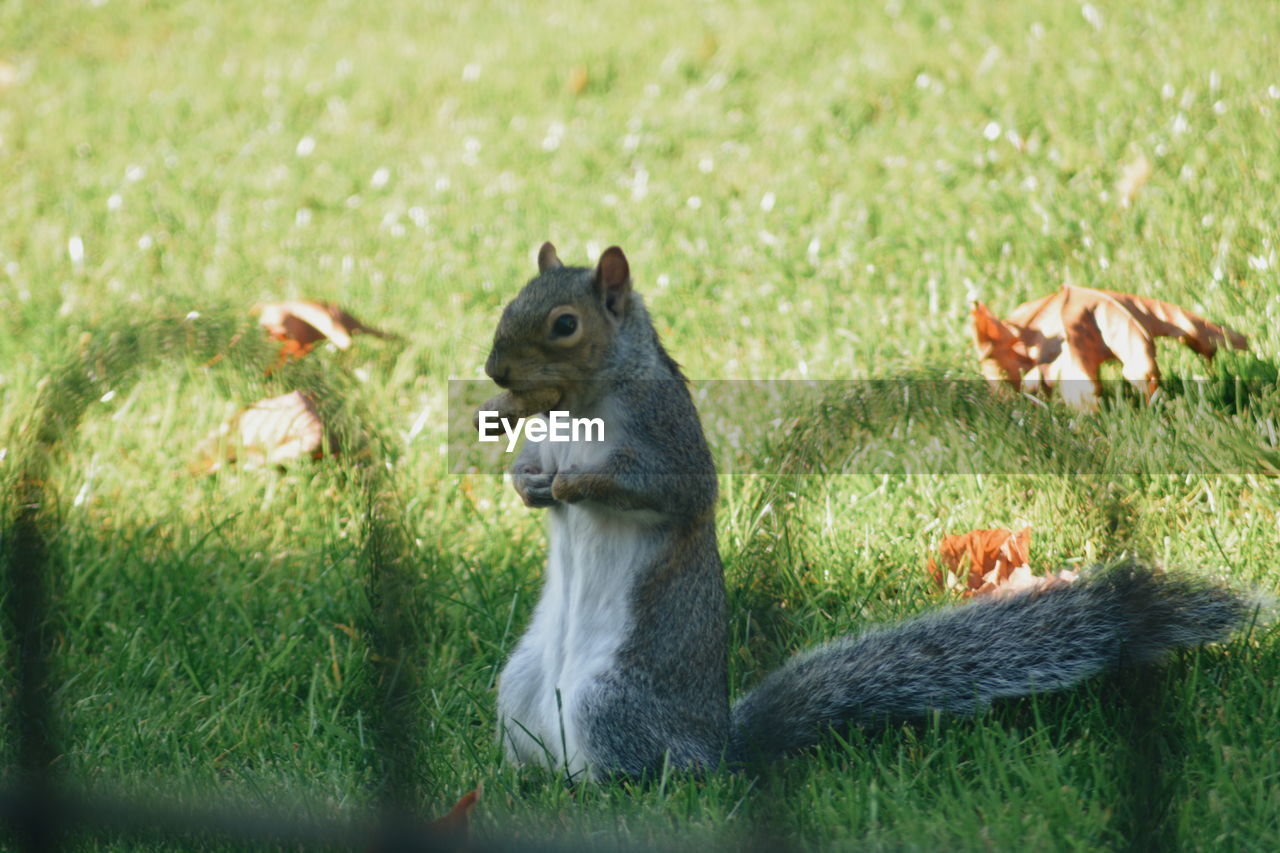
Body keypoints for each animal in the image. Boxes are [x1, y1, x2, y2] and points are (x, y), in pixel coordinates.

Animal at [481, 239, 1249, 778]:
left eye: (564, 323)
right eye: (511, 301)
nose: (494, 372)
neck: (578, 406)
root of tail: (714, 745)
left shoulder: (664, 428)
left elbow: (674, 491)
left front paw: (576, 487)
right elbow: (532, 467)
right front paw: (530, 484)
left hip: (610, 700)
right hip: (520, 688)